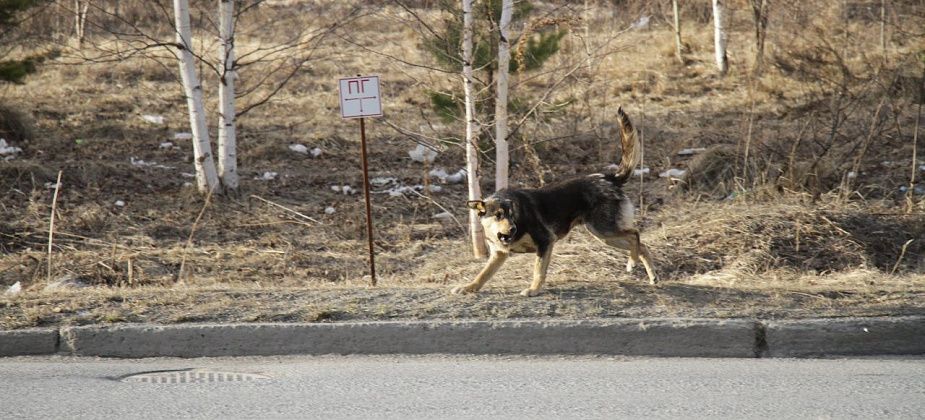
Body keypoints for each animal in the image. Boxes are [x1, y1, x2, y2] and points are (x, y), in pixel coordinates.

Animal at [450, 106, 652, 296]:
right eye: (498, 215)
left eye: (511, 215)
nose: (513, 229)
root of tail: (609, 178)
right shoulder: (499, 255)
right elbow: (482, 275)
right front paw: (468, 287)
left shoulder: (545, 242)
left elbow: (538, 271)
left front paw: (533, 290)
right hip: (604, 236)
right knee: (642, 245)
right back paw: (651, 277)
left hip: (605, 230)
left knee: (635, 235)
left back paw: (632, 262)